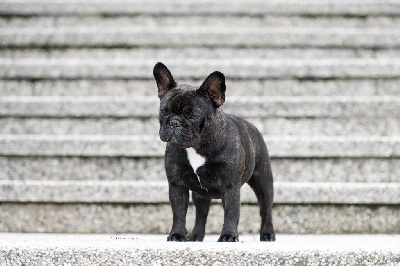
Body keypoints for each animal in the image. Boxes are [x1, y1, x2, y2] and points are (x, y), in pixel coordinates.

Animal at [153, 62, 276, 243]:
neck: (197, 146)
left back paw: (267, 234)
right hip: (200, 194)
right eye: (163, 112)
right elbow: (179, 213)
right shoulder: (177, 185)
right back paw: (195, 235)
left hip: (264, 182)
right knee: (201, 213)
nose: (174, 122)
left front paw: (229, 235)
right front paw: (177, 235)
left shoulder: (230, 186)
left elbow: (232, 212)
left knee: (265, 210)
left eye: (193, 115)